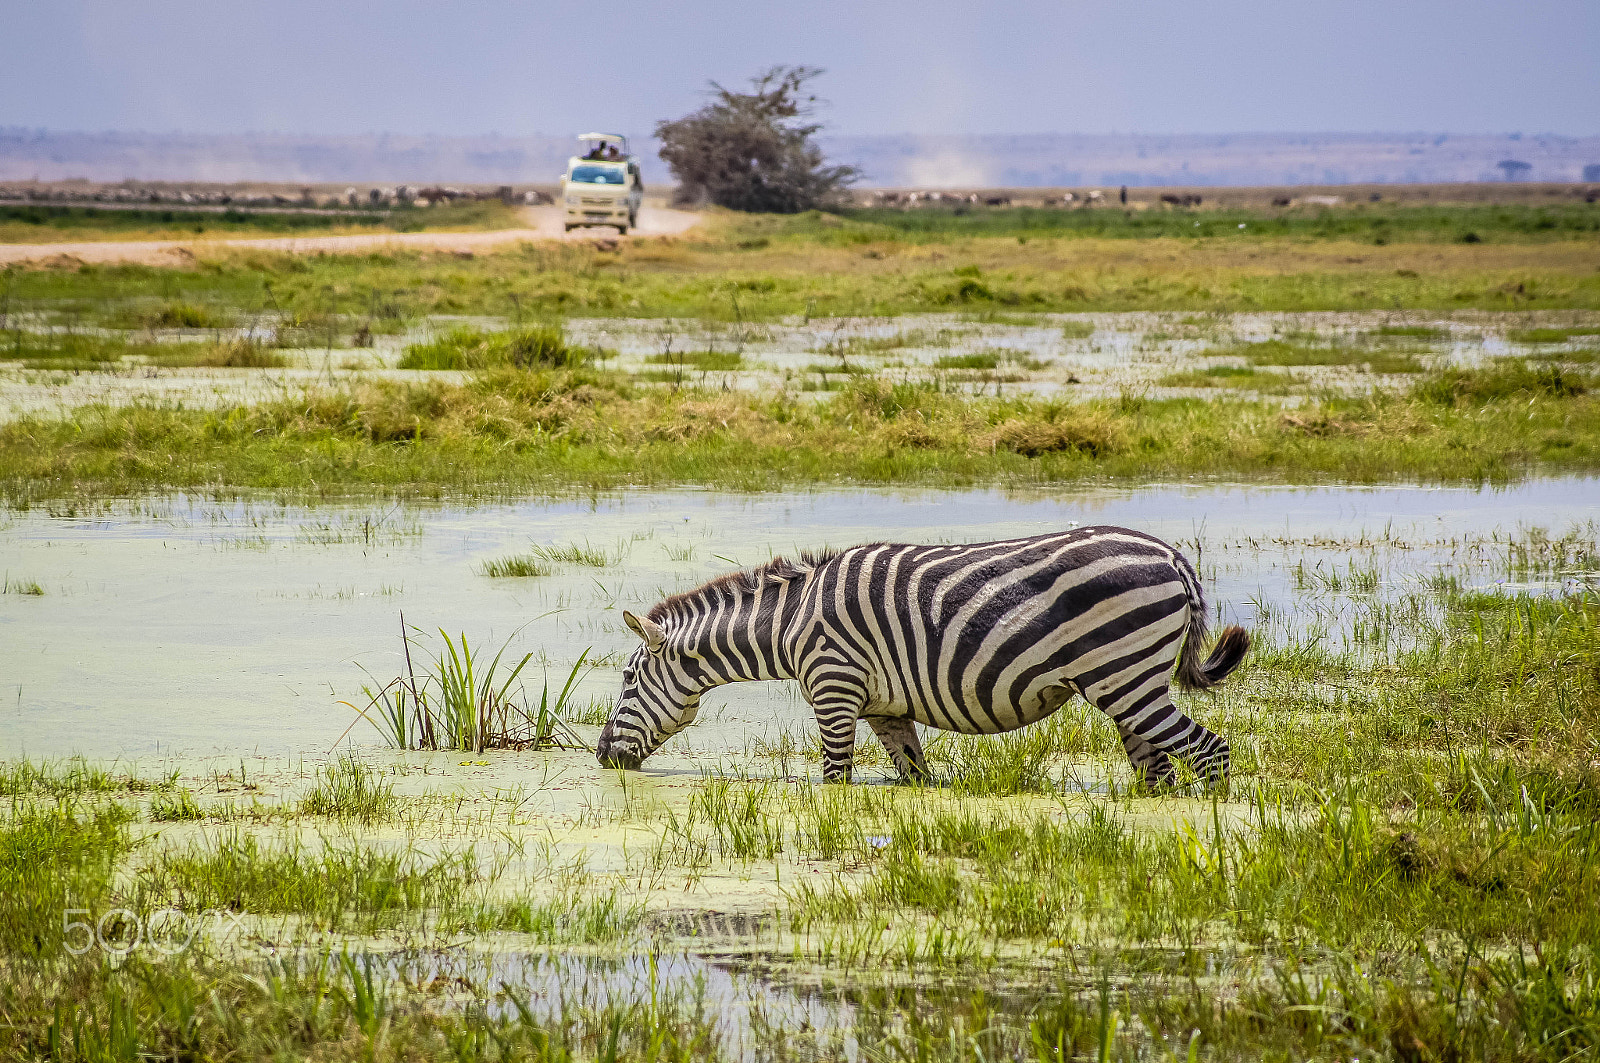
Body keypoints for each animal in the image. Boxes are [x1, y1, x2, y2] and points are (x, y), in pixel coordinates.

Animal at [598, 525, 1248, 784]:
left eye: (628, 680)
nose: (603, 756)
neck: (789, 625)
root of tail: (1172, 556)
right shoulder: (883, 709)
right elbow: (915, 777)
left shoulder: (834, 691)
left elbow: (834, 780)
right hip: (1126, 685)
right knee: (1158, 769)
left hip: (1125, 677)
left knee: (1211, 752)